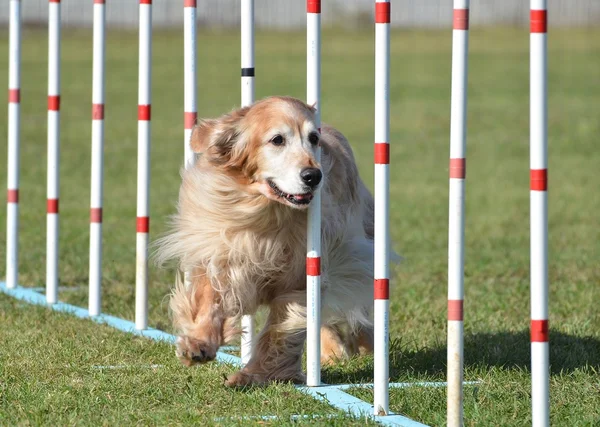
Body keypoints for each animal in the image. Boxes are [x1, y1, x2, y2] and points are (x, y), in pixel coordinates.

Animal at [157, 97, 396, 388]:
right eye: (277, 140)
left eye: (313, 138)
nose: (313, 176)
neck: (269, 214)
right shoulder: (223, 250)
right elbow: (210, 297)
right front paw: (198, 343)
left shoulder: (302, 277)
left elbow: (283, 330)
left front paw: (255, 374)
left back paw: (360, 343)